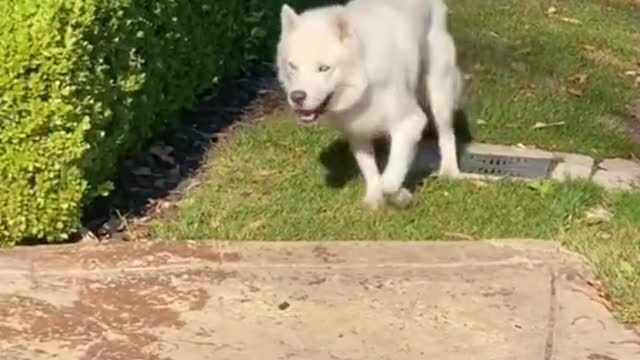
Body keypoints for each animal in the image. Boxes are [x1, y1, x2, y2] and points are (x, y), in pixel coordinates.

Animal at [274, 0, 460, 208]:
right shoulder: (357, 132)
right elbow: (371, 172)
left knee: (446, 134)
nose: (297, 97)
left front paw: (398, 195)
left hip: (439, 93)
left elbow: (389, 181)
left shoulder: (411, 121)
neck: (364, 81)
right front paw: (374, 200)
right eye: (292, 66)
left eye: (323, 68)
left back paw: (450, 170)